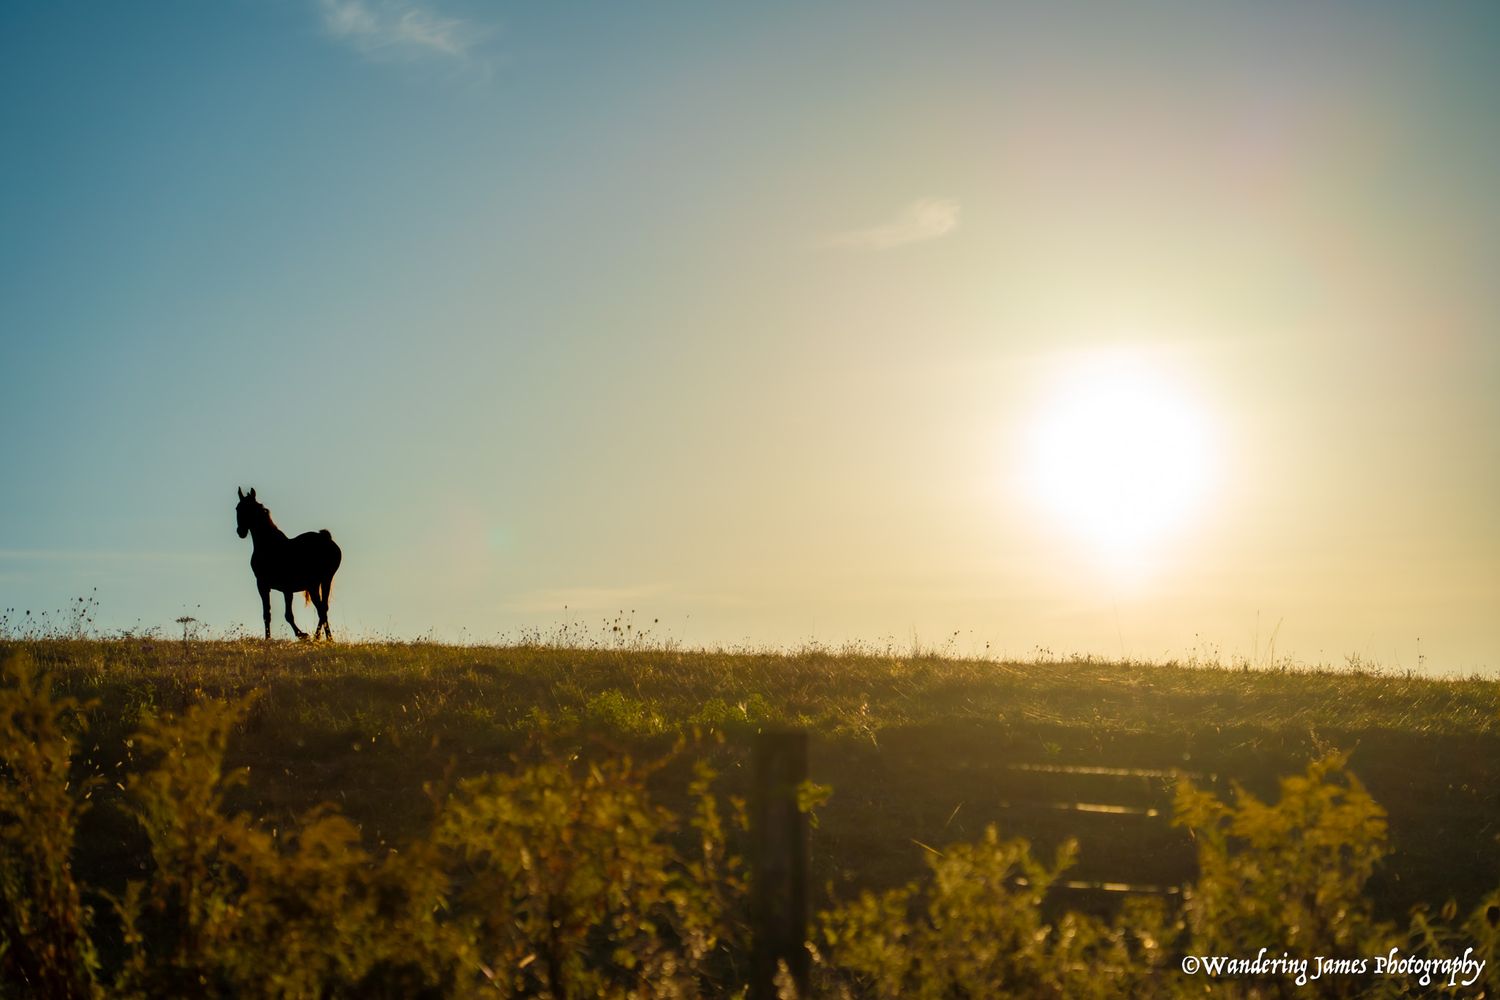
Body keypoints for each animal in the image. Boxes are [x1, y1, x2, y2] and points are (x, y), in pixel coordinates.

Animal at [234, 487, 342, 640]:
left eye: (251, 509)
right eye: (238, 508)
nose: (241, 532)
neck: (269, 545)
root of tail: (326, 538)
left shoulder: (265, 585)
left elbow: (285, 615)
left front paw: (302, 634)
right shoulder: (280, 589)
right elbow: (270, 614)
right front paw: (269, 638)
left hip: (316, 583)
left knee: (321, 609)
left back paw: (321, 638)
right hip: (322, 582)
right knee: (324, 608)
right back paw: (323, 638)